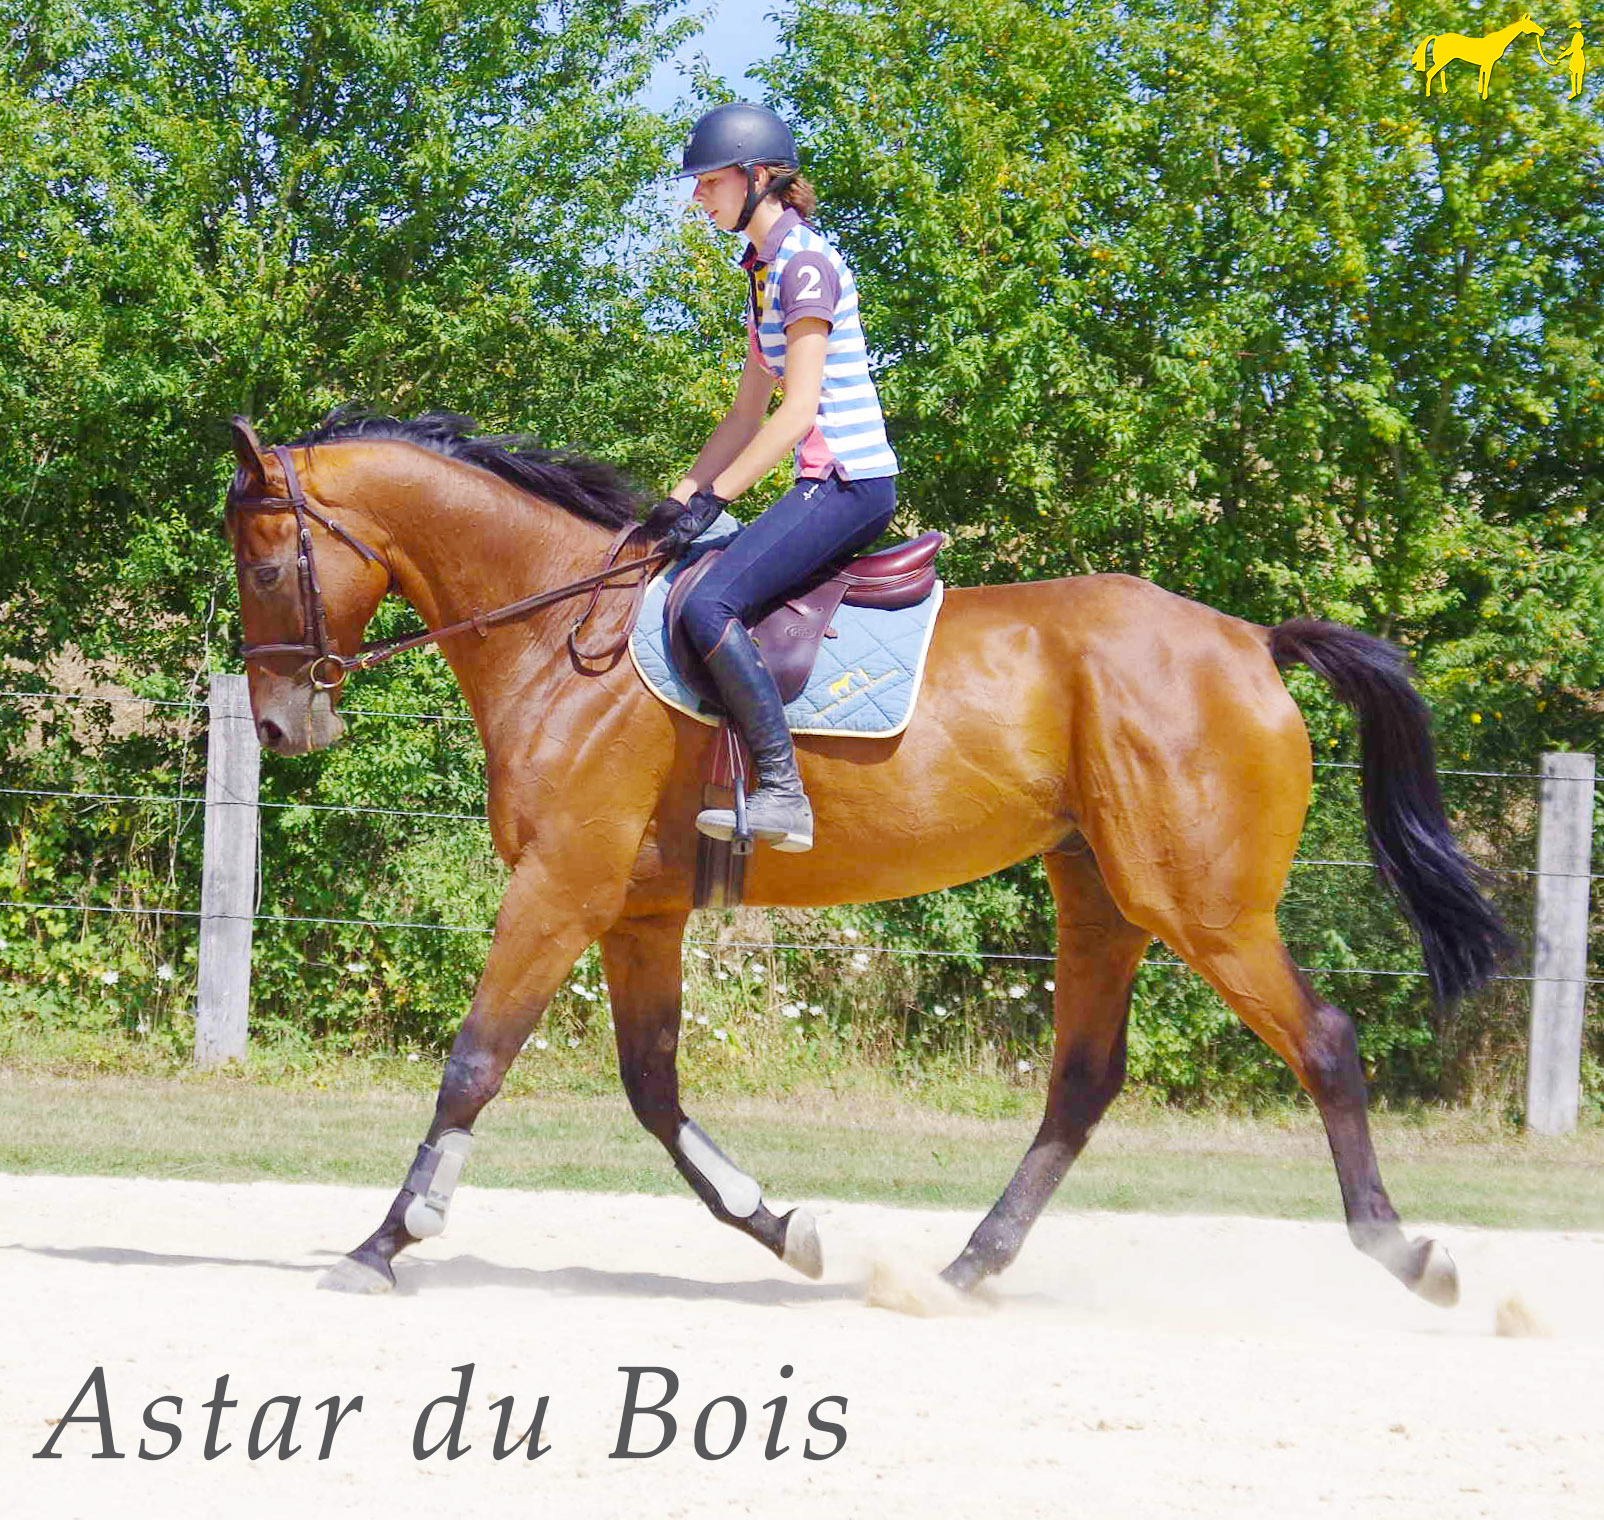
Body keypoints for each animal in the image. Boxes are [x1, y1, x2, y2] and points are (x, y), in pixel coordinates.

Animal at [222, 413, 1501, 1308]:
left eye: (266, 566)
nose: (280, 726)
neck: (558, 632)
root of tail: (1248, 639)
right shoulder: (636, 911)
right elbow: (652, 1087)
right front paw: (780, 1225)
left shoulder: (559, 888)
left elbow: (474, 1062)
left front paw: (385, 1240)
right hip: (1100, 896)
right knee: (1081, 1082)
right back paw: (963, 1268)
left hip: (1204, 906)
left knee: (1321, 1041)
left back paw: (1406, 1252)